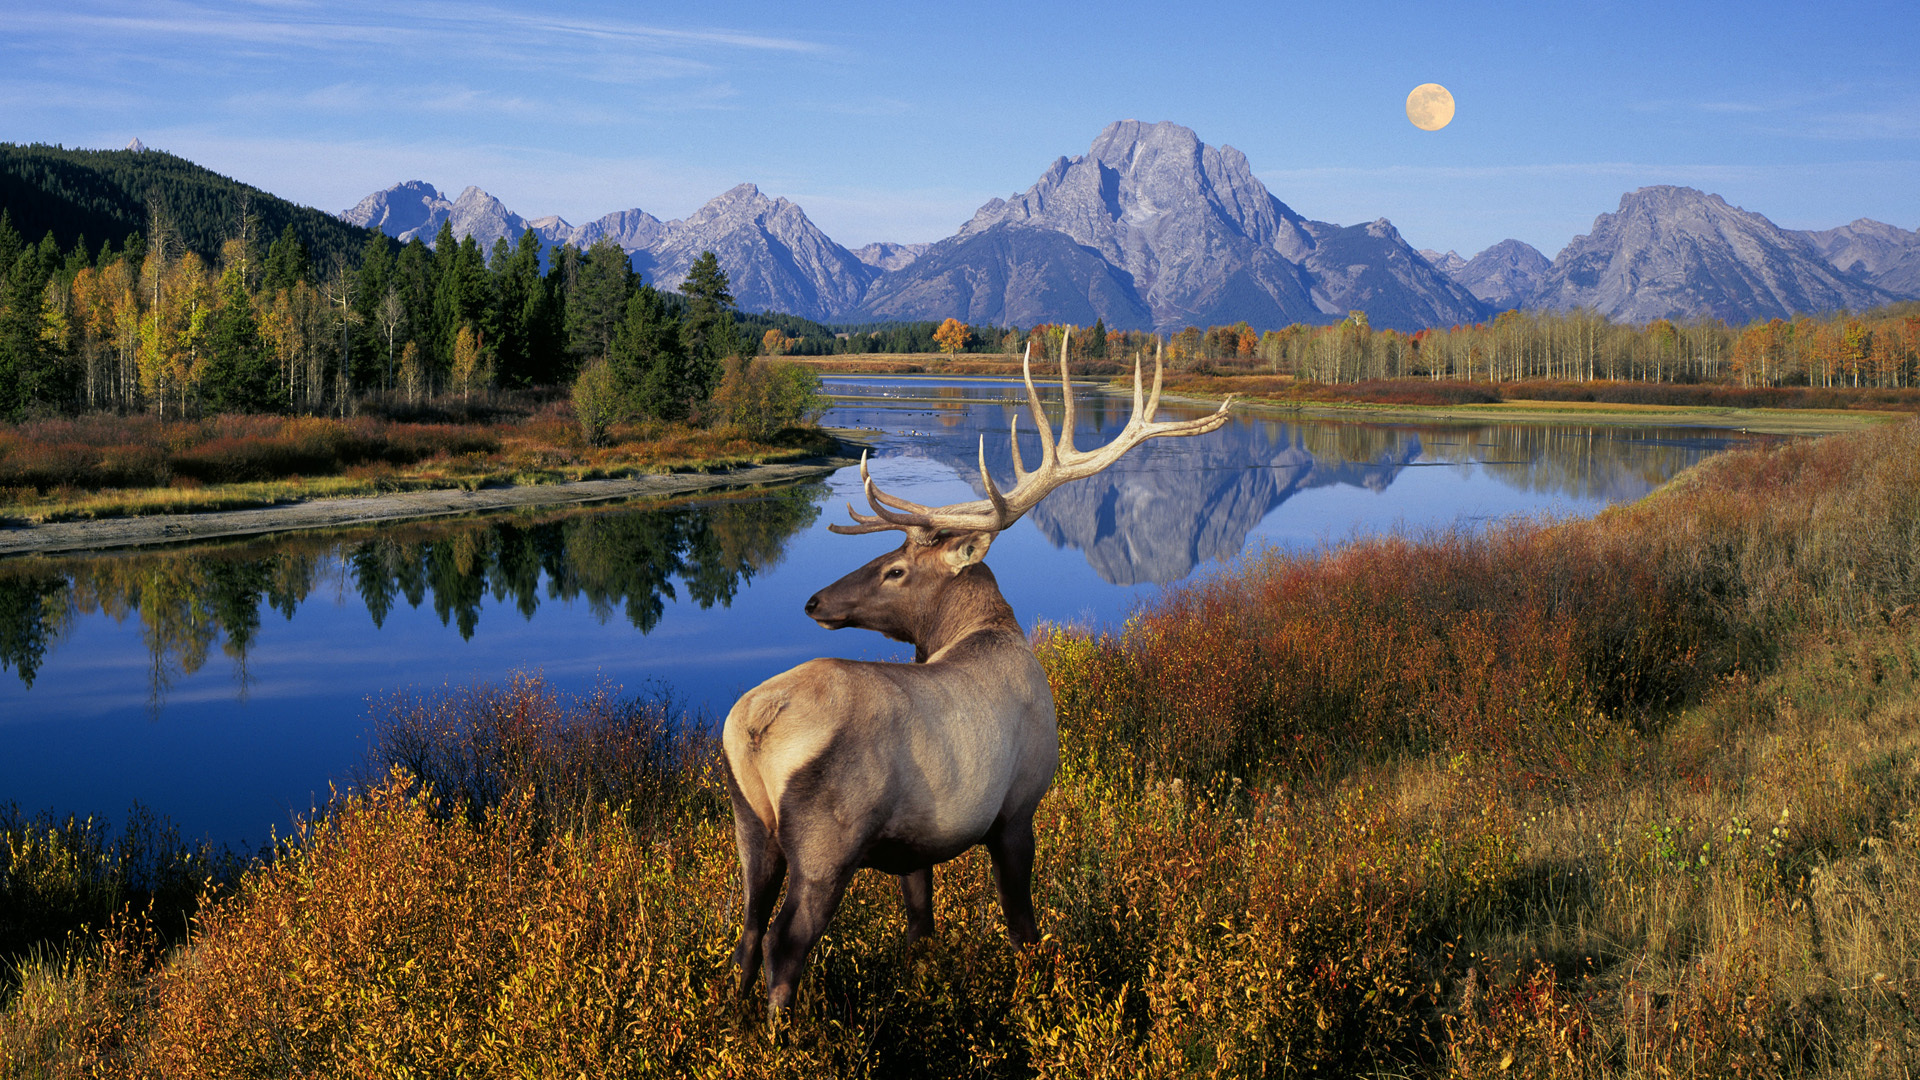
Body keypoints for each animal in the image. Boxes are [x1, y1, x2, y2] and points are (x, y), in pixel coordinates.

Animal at [721, 330, 1228, 1006]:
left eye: (895, 569)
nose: (814, 601)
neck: (987, 631)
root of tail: (755, 725)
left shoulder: (914, 848)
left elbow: (921, 927)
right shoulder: (1018, 807)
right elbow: (1022, 926)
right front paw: (1038, 989)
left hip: (751, 826)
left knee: (748, 933)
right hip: (828, 841)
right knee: (785, 944)